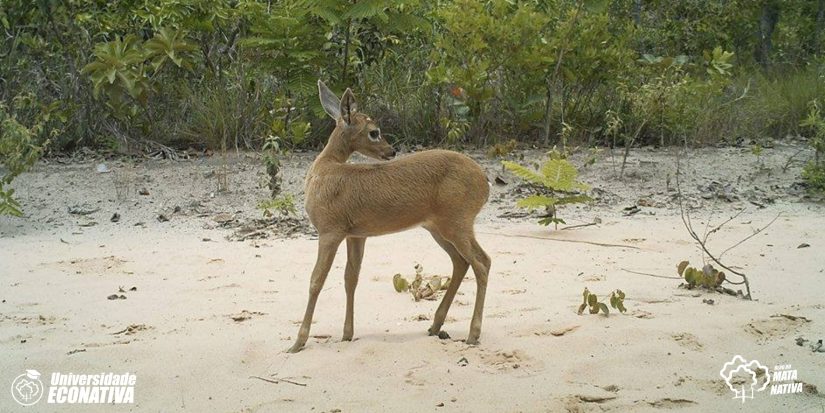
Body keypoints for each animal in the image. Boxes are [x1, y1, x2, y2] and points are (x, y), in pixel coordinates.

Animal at [286, 79, 490, 350]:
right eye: (374, 132)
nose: (391, 151)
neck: (325, 168)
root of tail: (485, 182)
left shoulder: (330, 231)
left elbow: (316, 280)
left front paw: (298, 342)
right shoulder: (355, 234)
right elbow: (351, 278)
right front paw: (347, 334)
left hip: (458, 222)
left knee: (482, 262)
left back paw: (473, 334)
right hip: (438, 227)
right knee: (461, 262)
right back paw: (435, 326)